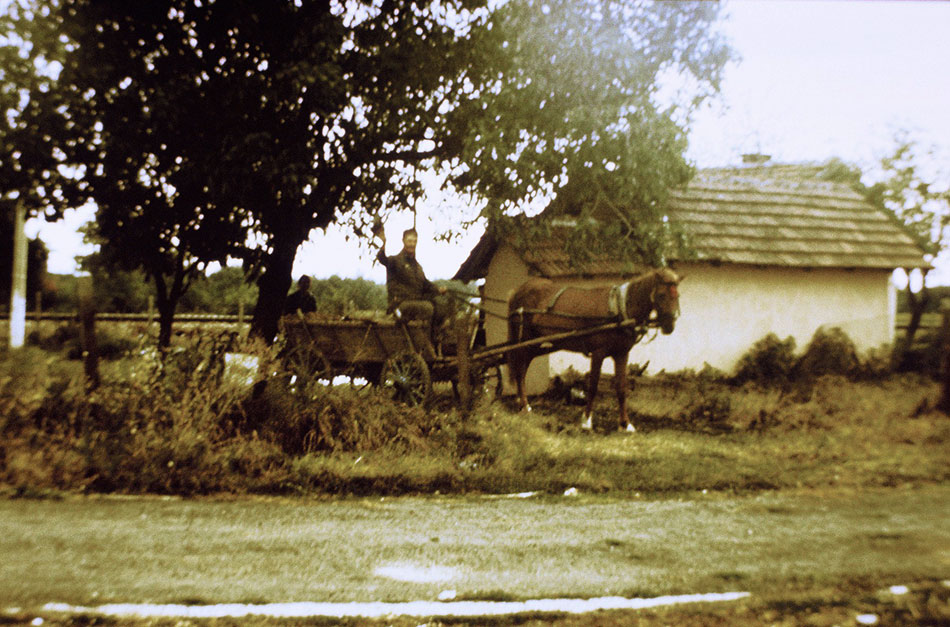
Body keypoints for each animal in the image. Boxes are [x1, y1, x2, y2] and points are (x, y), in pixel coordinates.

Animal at [510, 268, 680, 434]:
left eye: (677, 295)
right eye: (661, 295)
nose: (670, 326)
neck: (619, 311)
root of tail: (520, 289)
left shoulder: (621, 354)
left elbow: (621, 388)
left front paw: (625, 424)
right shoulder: (598, 353)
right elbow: (592, 387)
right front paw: (586, 421)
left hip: (535, 344)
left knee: (522, 370)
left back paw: (522, 404)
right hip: (525, 340)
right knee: (520, 370)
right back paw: (525, 407)